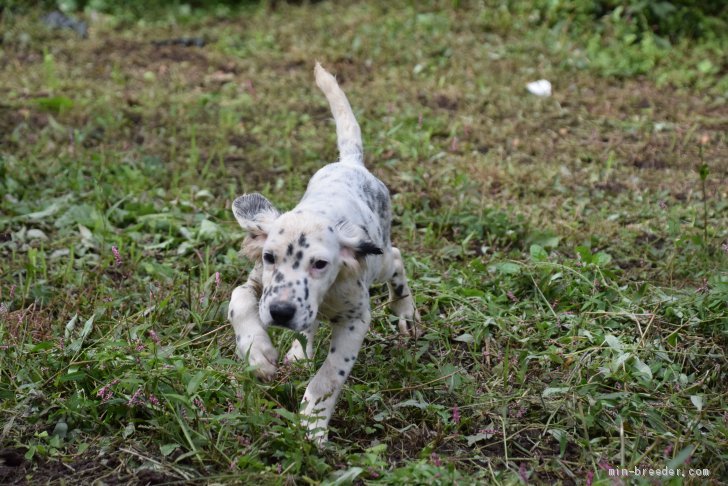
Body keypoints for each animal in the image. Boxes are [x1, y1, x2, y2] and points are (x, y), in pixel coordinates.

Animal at [228, 62, 420, 442]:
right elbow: (238, 300)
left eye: (320, 264)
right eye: (269, 257)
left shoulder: (355, 319)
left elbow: (330, 375)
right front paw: (259, 354)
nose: (281, 312)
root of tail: (351, 164)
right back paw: (298, 351)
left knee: (396, 257)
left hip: (379, 260)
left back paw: (403, 309)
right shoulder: (259, 284)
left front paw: (313, 424)